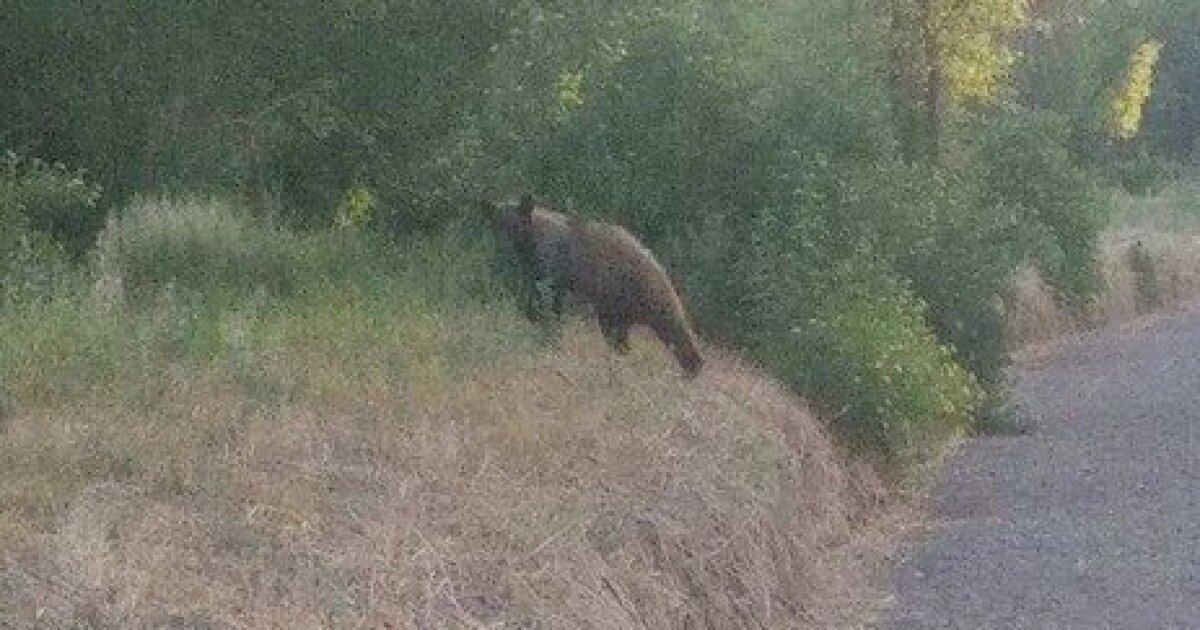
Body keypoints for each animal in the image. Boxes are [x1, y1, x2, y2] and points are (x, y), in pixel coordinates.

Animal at [483, 195, 704, 377]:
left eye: (514, 227)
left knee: (667, 327)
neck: (532, 244)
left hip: (629, 294)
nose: (502, 249)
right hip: (619, 305)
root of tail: (657, 264)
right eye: (497, 226)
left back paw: (691, 364)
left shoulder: (554, 266)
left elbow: (549, 301)